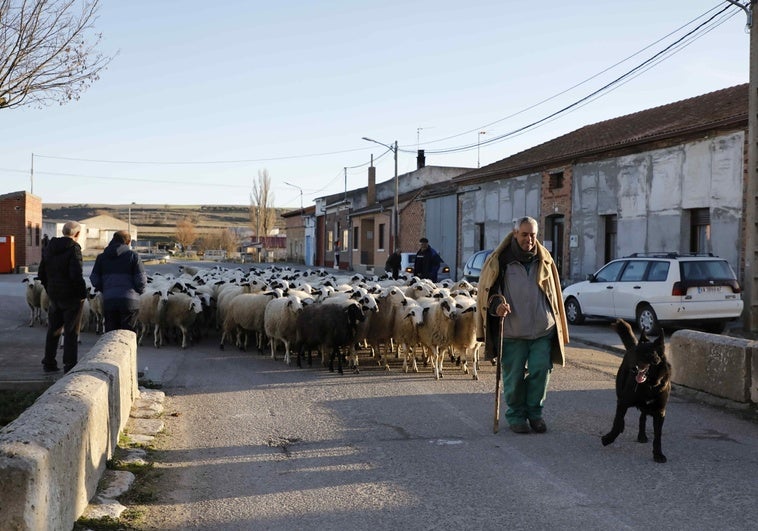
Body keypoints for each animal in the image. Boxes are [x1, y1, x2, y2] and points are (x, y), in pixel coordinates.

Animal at [604, 318, 672, 464]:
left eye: (648, 354)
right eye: (636, 353)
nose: (634, 368)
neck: (650, 385)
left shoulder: (660, 413)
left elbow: (658, 436)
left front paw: (658, 454)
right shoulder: (624, 402)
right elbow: (617, 422)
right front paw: (608, 438)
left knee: (642, 417)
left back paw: (642, 435)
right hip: (620, 392)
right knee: (620, 414)